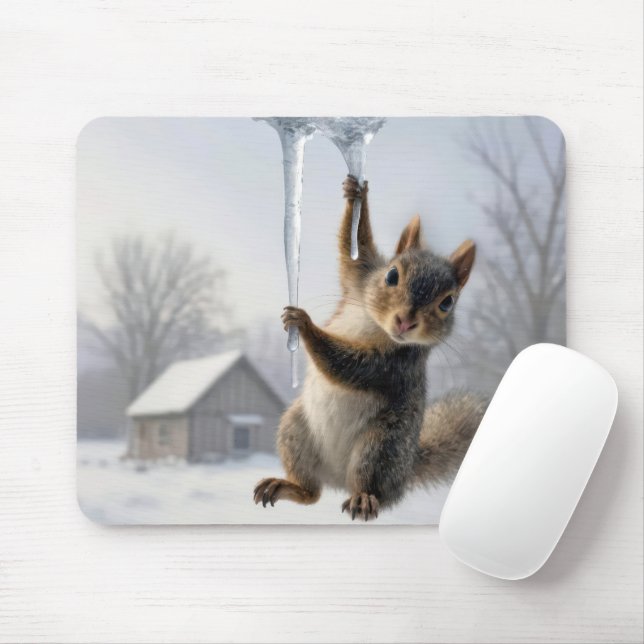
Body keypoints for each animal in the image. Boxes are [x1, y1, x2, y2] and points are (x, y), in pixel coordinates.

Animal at [254, 175, 488, 521]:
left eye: (447, 303)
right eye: (391, 274)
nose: (405, 321)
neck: (376, 324)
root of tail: (338, 479)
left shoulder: (394, 365)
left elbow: (349, 365)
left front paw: (306, 324)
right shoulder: (360, 277)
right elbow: (352, 251)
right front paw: (356, 194)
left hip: (380, 448)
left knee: (372, 488)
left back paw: (364, 500)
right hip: (294, 430)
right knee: (311, 493)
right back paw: (287, 487)